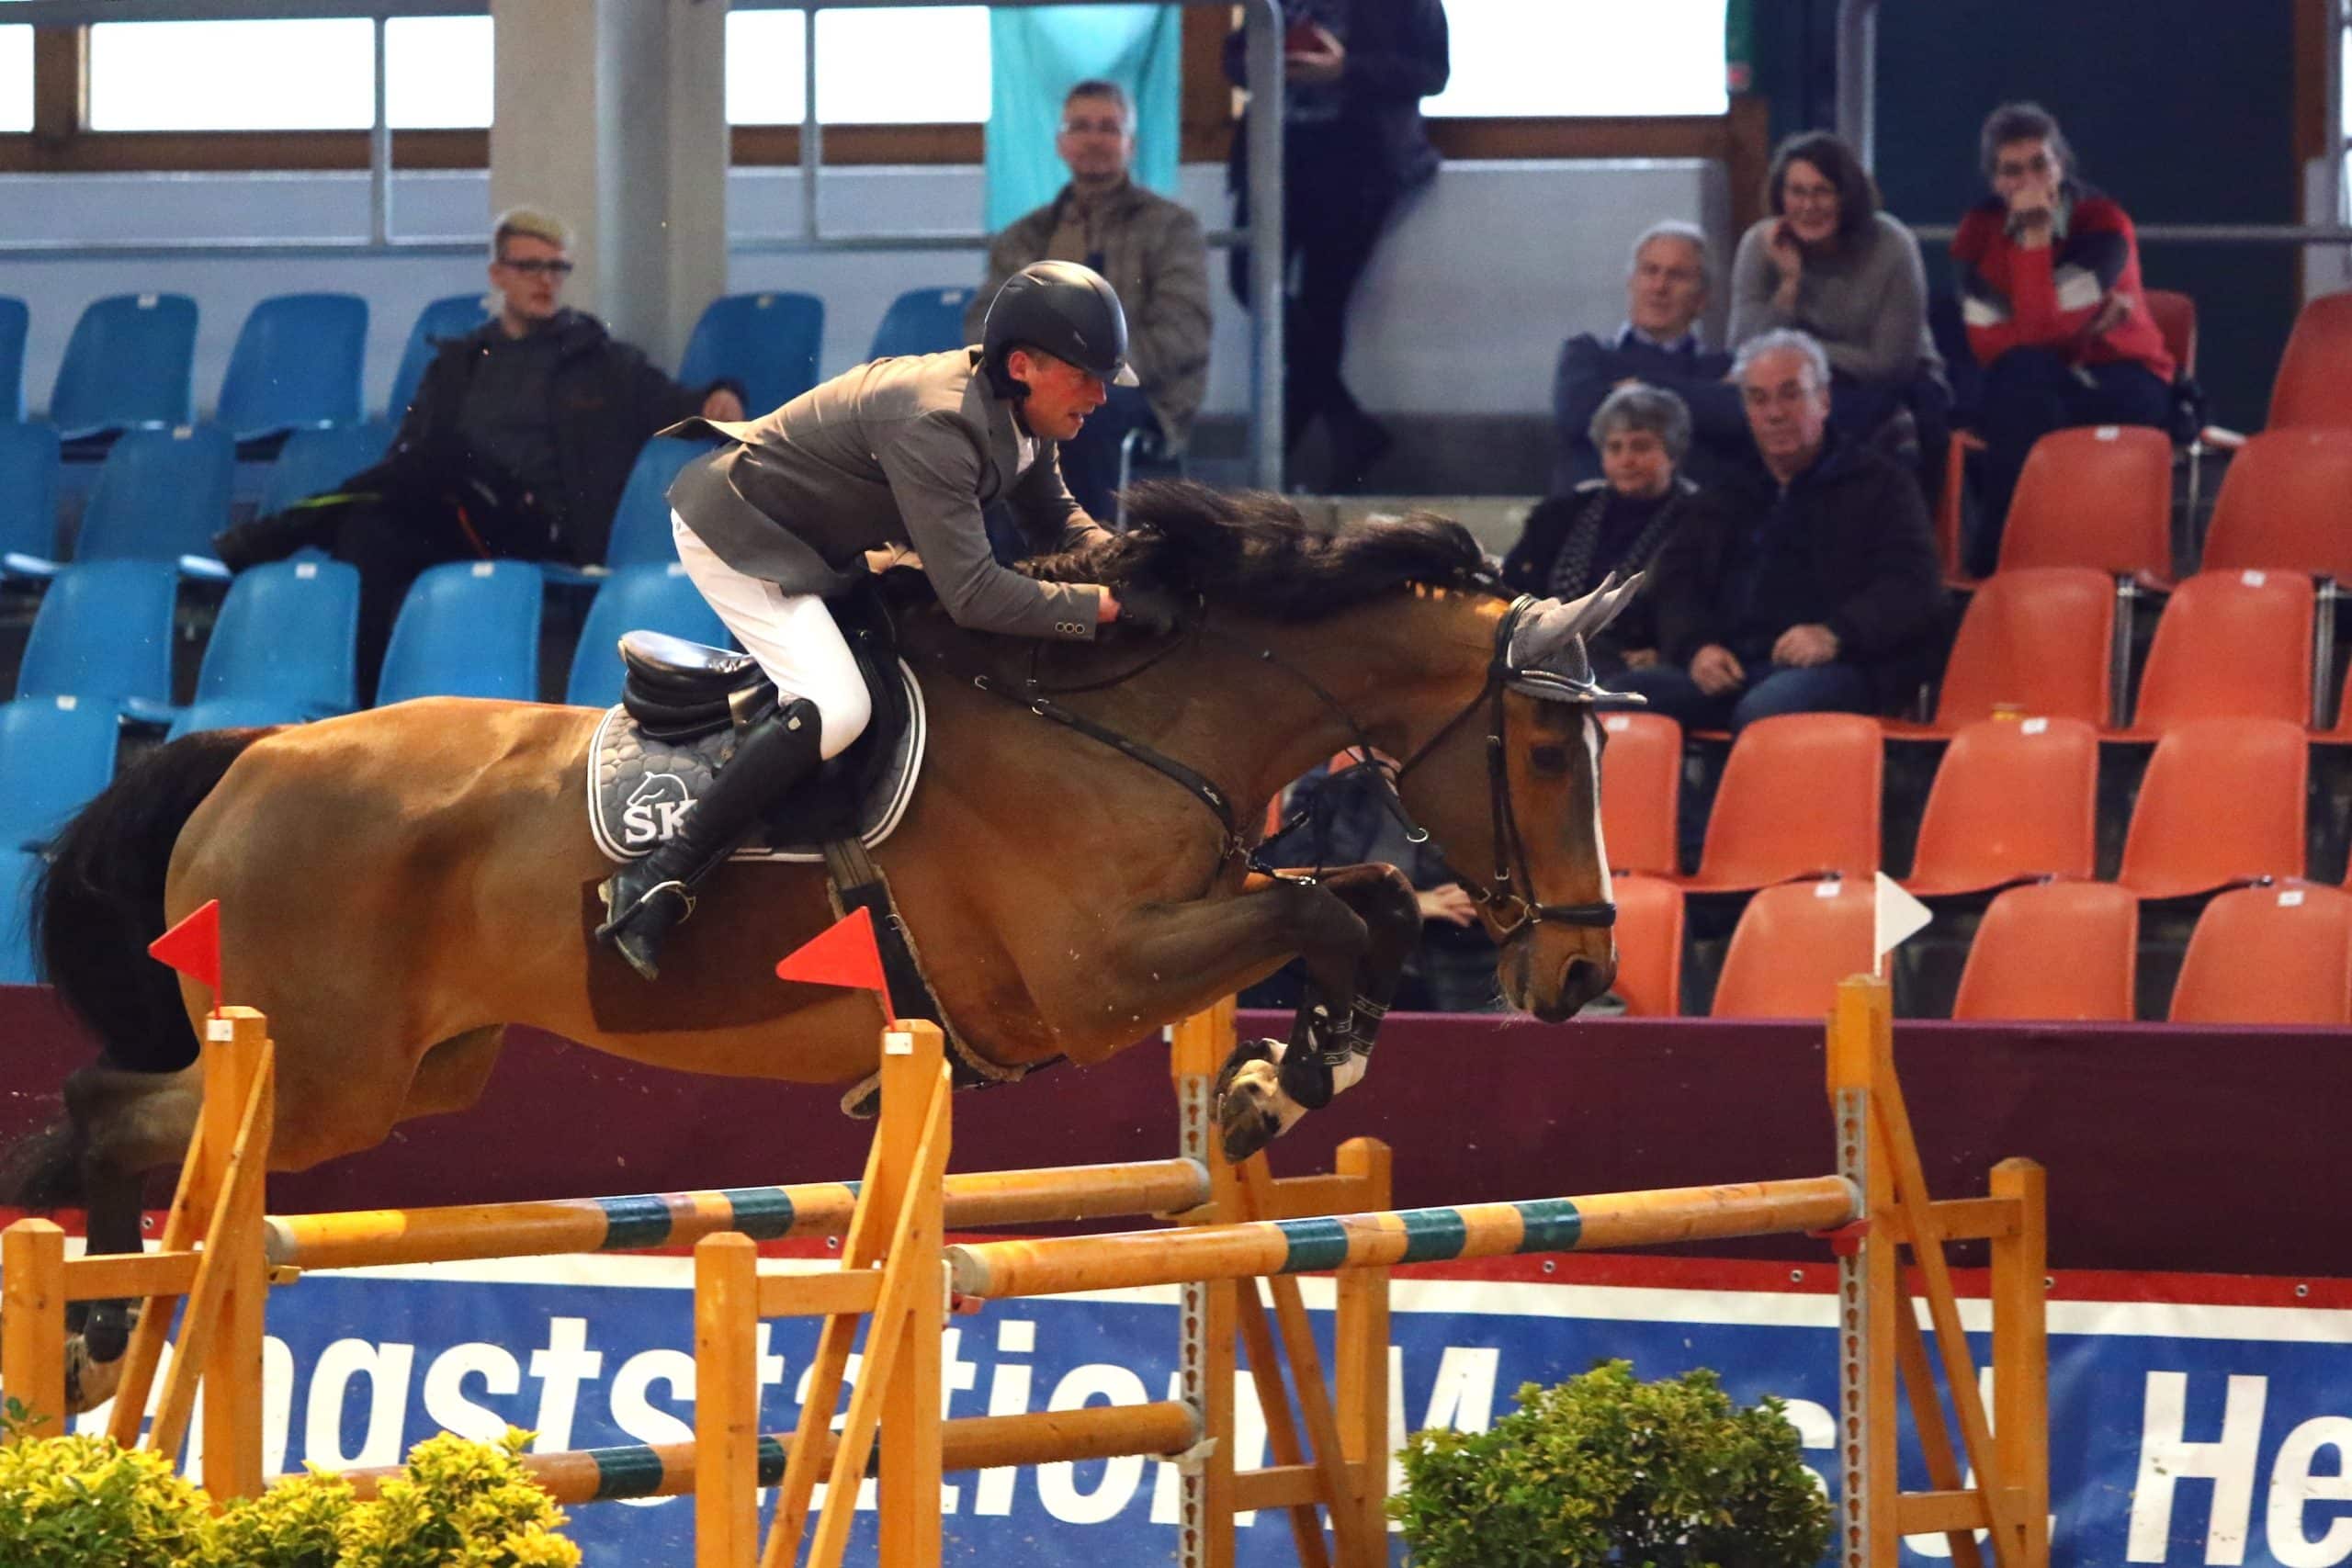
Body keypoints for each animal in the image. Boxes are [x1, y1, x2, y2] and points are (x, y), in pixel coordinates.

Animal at [0, 481, 1636, 1410]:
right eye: (1552, 749)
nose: (1583, 974)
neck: (1134, 718)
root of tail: (251, 750)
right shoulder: (1094, 979)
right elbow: (1318, 907)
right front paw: (1274, 1080)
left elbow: (1360, 899)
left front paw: (1279, 1080)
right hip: (325, 1068)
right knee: (109, 1115)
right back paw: (81, 1318)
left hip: (419, 1071)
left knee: (127, 1120)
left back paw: (87, 1326)